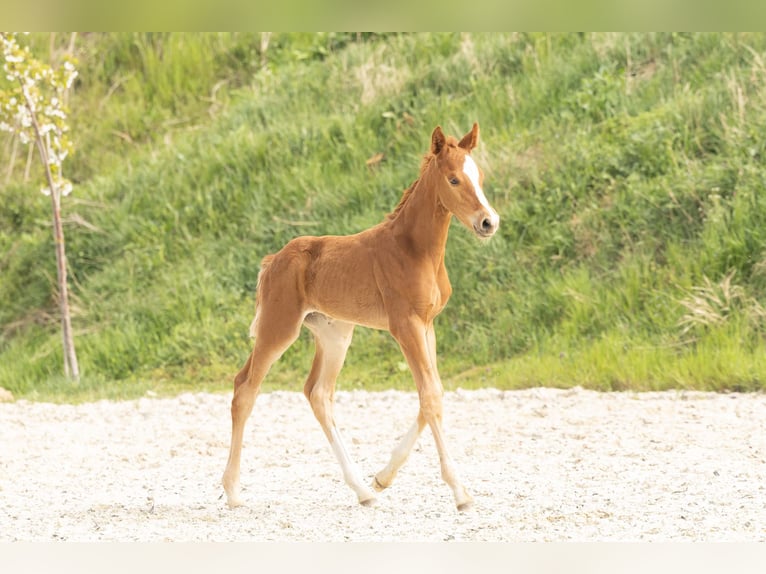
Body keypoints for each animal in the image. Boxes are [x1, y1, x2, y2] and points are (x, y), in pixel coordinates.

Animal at [222, 122, 499, 511]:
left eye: (481, 176)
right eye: (454, 179)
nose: (489, 222)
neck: (413, 250)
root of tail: (273, 259)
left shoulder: (427, 325)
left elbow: (433, 393)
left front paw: (382, 478)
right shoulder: (405, 326)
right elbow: (430, 396)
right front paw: (460, 492)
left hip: (335, 333)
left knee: (318, 393)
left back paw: (363, 491)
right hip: (279, 327)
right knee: (245, 388)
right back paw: (232, 492)